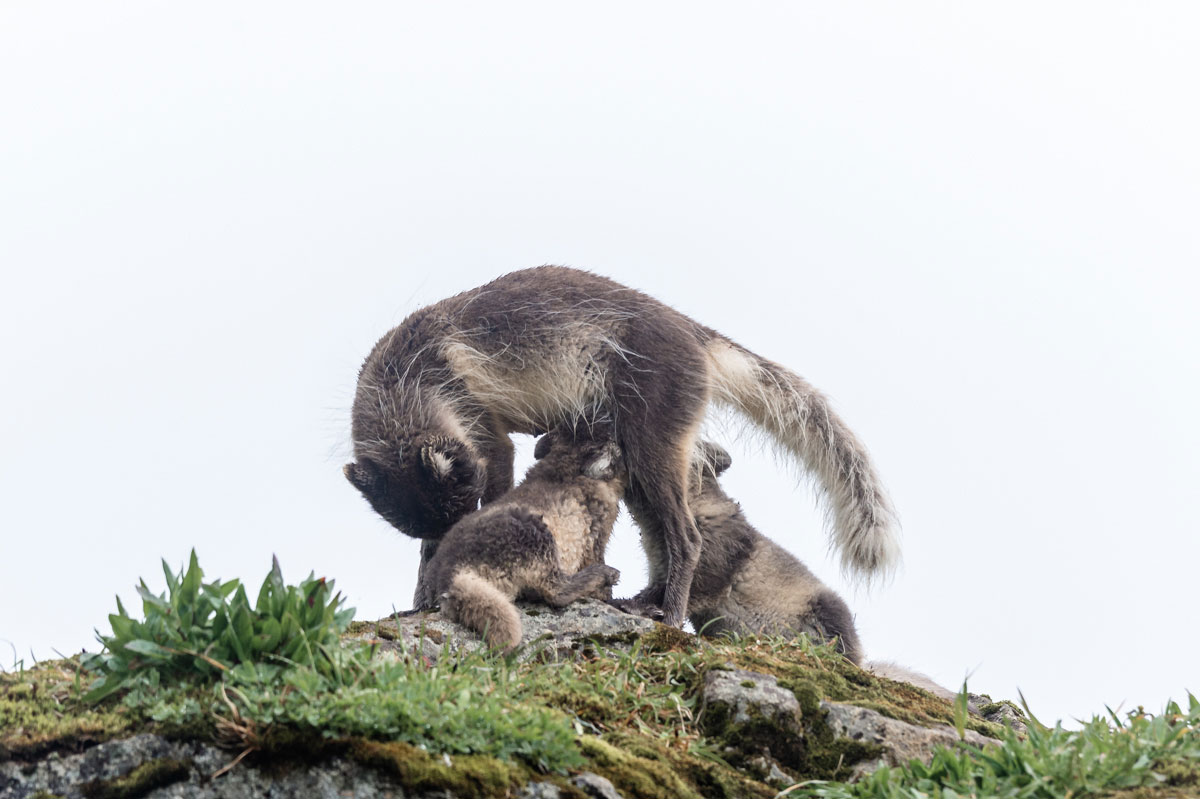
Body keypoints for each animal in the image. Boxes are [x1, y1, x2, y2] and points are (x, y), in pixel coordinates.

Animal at [343, 263, 897, 623]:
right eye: (439, 526)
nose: (454, 555)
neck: (410, 379)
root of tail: (695, 333)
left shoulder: (486, 430)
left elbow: (499, 477)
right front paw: (419, 598)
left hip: (653, 451)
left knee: (688, 538)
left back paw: (670, 617)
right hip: (641, 472)